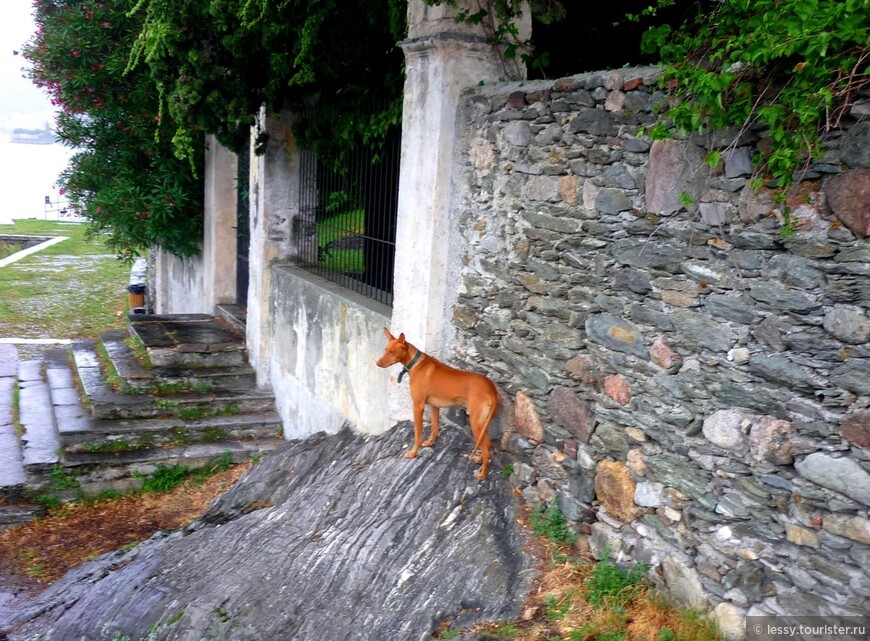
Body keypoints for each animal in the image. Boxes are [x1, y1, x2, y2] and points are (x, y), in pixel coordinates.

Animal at [378, 328, 500, 478]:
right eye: (385, 350)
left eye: (392, 352)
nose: (377, 363)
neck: (416, 363)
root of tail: (492, 388)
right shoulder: (435, 406)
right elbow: (434, 428)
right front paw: (430, 443)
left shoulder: (417, 406)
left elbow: (417, 434)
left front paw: (413, 452)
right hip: (482, 423)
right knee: (487, 444)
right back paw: (480, 460)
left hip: (475, 422)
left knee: (486, 448)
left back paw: (482, 475)